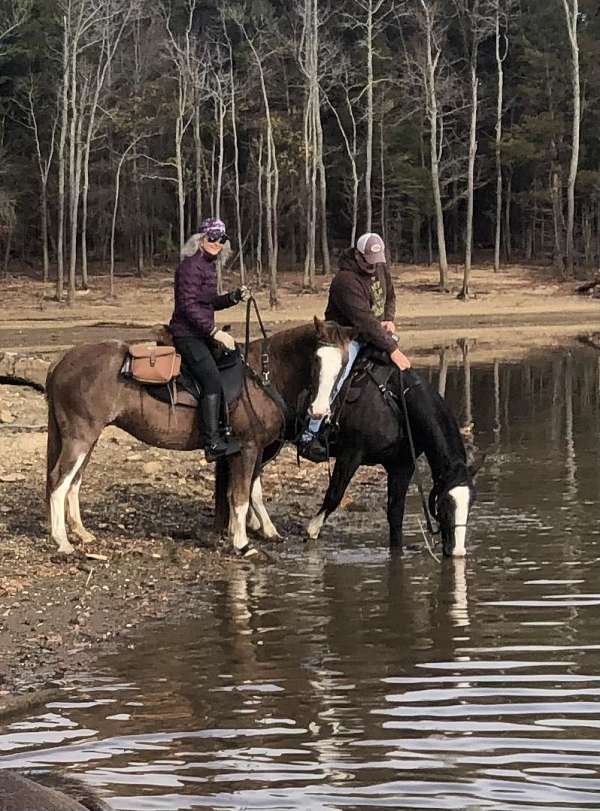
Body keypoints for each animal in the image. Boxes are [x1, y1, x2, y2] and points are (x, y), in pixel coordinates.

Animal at [216, 318, 478, 557]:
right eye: (444, 504)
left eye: (471, 504)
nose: (458, 552)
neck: (395, 400)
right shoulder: (351, 453)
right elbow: (334, 494)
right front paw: (311, 530)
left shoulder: (402, 466)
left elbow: (395, 514)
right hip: (263, 444)